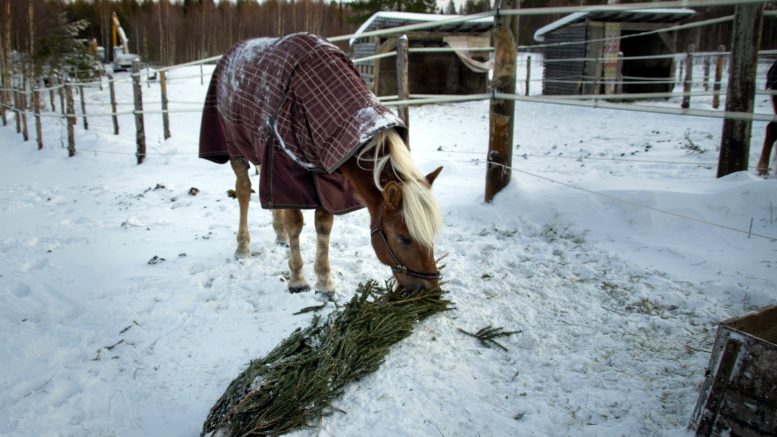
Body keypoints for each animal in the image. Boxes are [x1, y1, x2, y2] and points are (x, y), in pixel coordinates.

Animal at [199, 32, 442, 294]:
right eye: (404, 237)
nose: (430, 290)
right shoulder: (287, 169)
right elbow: (296, 223)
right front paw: (297, 279)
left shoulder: (326, 175)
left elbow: (324, 225)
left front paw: (325, 281)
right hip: (235, 149)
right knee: (243, 192)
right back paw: (243, 247)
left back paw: (279, 234)